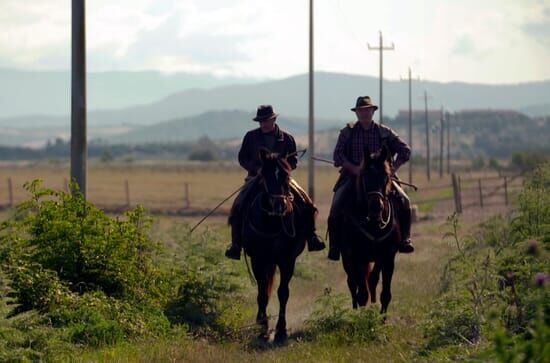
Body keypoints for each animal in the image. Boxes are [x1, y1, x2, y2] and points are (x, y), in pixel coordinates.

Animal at [243, 148, 308, 344]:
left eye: (287, 175)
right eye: (265, 174)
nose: (280, 205)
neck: (272, 222)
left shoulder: (288, 260)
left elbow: (283, 292)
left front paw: (281, 330)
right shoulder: (258, 259)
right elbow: (263, 292)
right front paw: (262, 328)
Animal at [342, 146, 404, 314]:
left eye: (386, 178)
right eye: (365, 177)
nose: (376, 208)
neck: (374, 224)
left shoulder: (388, 256)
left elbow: (383, 290)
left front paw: (382, 317)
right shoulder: (358, 256)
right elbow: (362, 292)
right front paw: (362, 316)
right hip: (346, 257)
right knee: (352, 283)